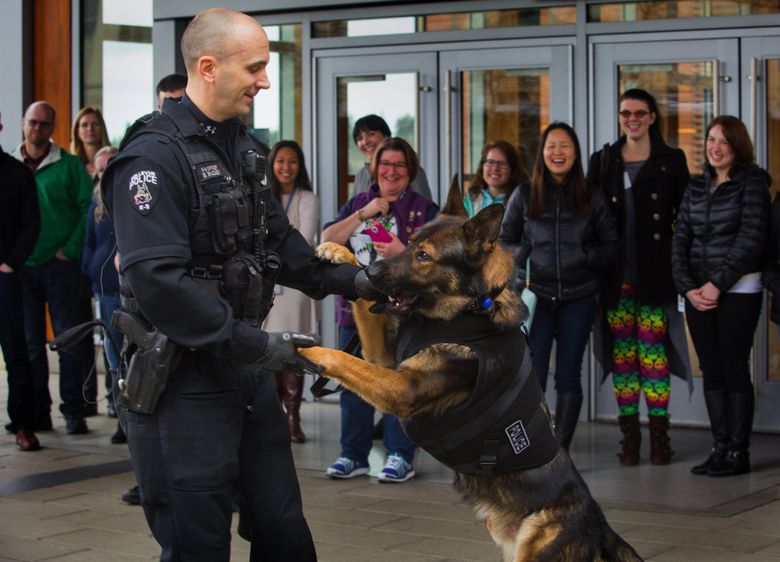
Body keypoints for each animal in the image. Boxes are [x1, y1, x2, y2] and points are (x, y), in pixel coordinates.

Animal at [298, 180, 640, 560]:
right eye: (410, 243)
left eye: (424, 256)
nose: (371, 274)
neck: (471, 308)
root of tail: (599, 524)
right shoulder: (382, 359)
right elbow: (362, 332)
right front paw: (338, 251)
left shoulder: (402, 389)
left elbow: (345, 359)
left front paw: (304, 347)